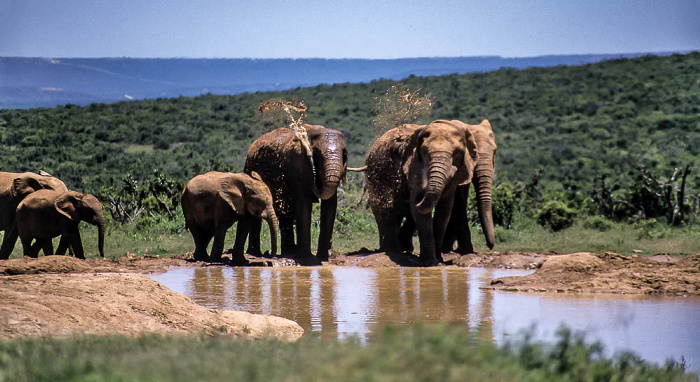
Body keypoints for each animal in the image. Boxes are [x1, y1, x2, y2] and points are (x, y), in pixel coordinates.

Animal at [364, 119, 478, 266]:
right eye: (425, 153)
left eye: (456, 153)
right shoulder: (413, 166)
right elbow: (420, 213)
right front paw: (429, 263)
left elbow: (444, 211)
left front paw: (438, 260)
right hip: (375, 175)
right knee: (386, 210)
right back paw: (391, 251)